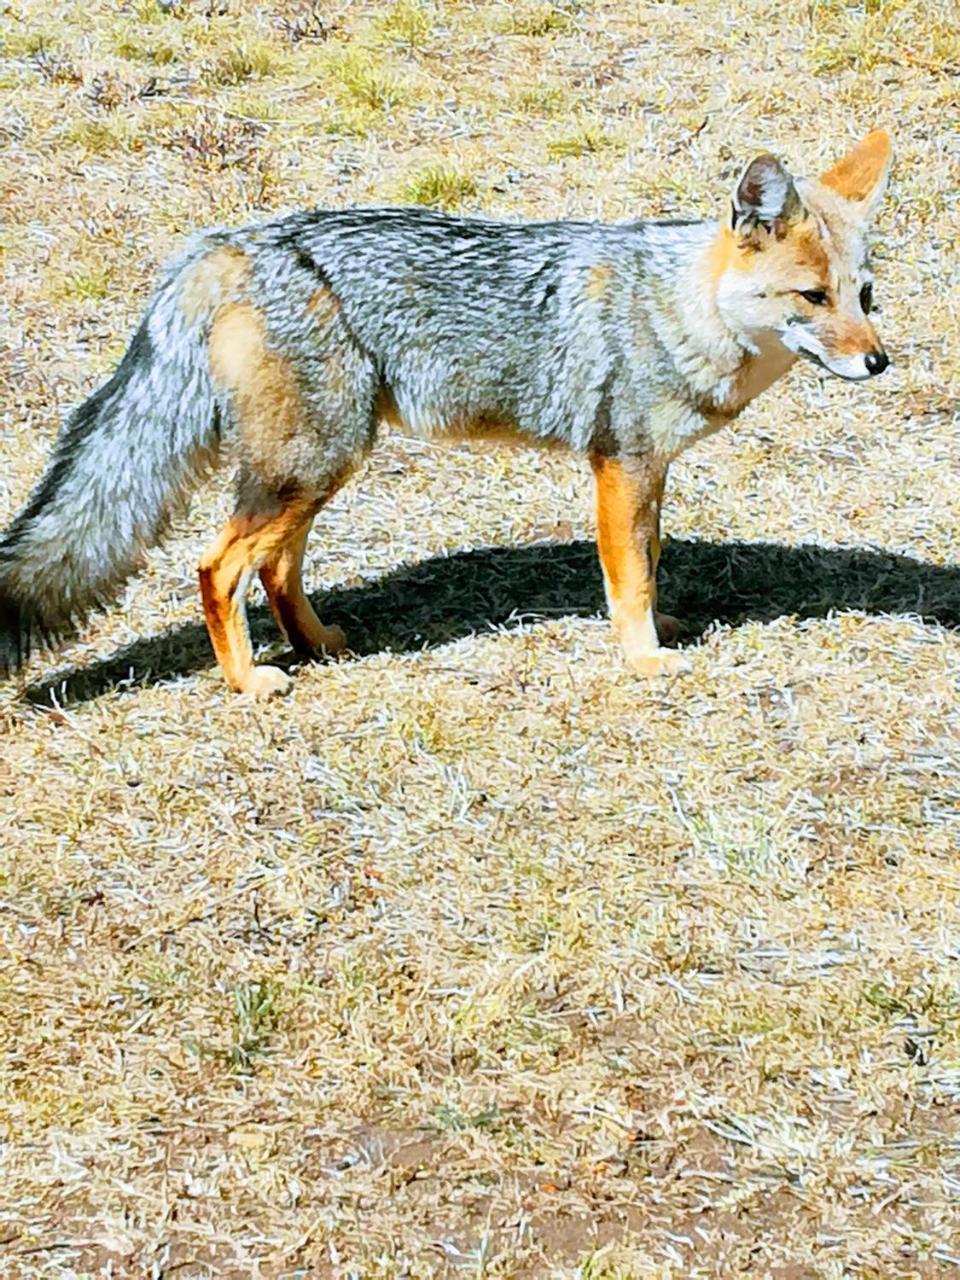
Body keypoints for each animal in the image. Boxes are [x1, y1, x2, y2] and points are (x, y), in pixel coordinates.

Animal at [0, 129, 896, 701]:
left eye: (865, 296)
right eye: (812, 299)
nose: (878, 362)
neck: (677, 308)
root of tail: (225, 244)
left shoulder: (649, 470)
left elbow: (650, 560)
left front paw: (661, 631)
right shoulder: (620, 463)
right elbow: (629, 576)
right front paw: (643, 660)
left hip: (323, 464)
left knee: (276, 566)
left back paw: (318, 644)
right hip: (311, 464)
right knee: (217, 566)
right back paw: (249, 679)